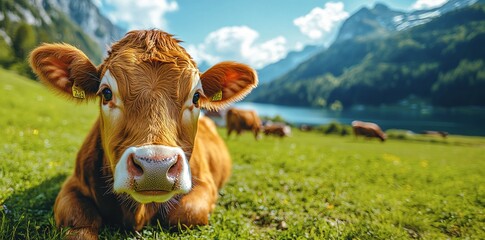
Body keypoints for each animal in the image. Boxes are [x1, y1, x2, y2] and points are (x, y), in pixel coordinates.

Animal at [27, 30, 258, 240]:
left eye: (196, 97)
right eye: (106, 93)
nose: (156, 168)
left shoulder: (206, 186)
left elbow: (185, 213)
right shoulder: (72, 186)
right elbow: (80, 223)